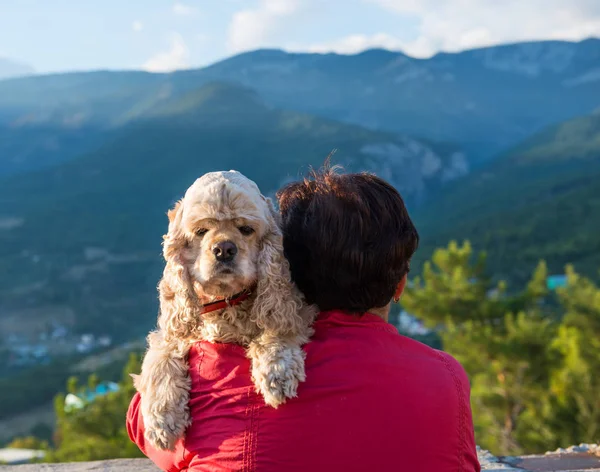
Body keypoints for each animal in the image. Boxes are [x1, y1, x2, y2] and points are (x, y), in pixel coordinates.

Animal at [134, 170, 316, 450]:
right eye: (201, 231)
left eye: (246, 229)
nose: (224, 249)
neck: (227, 301)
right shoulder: (173, 331)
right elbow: (159, 358)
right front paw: (162, 420)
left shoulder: (296, 308)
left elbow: (278, 326)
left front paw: (277, 369)